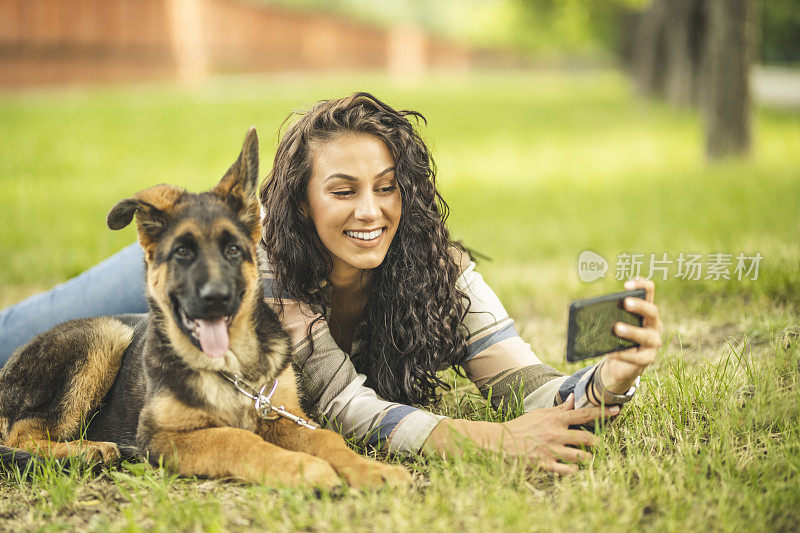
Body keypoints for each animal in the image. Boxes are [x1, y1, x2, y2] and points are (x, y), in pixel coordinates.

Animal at [0, 128, 412, 486]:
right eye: (182, 252)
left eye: (233, 250)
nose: (216, 297)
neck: (233, 371)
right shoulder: (164, 436)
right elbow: (238, 439)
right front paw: (305, 468)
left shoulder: (282, 413)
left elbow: (326, 438)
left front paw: (370, 470)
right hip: (104, 334)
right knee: (20, 433)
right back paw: (88, 450)